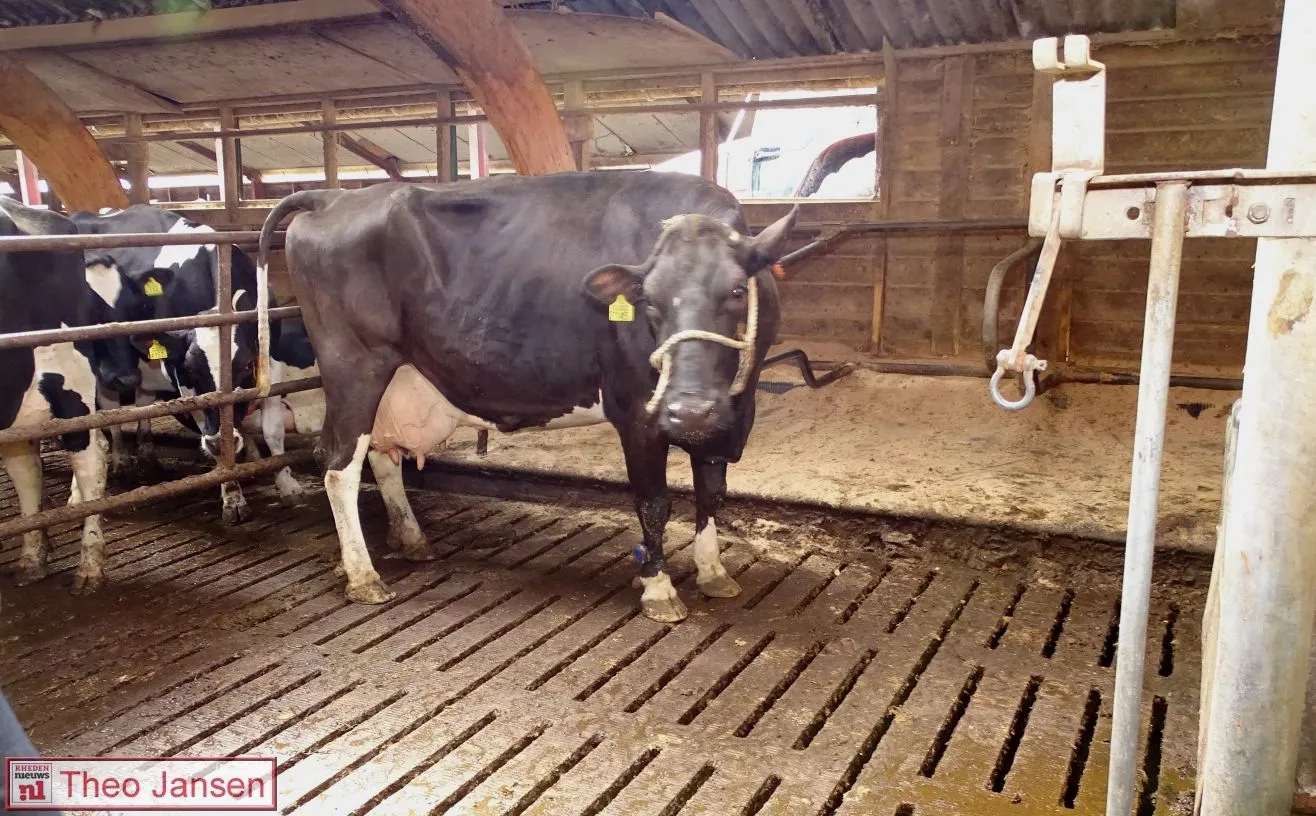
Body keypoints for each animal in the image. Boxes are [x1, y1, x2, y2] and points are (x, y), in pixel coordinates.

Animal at [0, 197, 141, 594]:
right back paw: (33, 557)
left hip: (68, 384)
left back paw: (89, 565)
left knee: (89, 456)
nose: (124, 377)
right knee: (26, 468)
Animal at [67, 205, 308, 523]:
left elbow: (273, 430)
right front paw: (232, 495)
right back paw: (114, 464)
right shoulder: (183, 381)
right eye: (192, 370)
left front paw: (287, 483)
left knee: (142, 402)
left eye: (245, 367)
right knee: (103, 412)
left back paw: (147, 455)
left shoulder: (270, 360)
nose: (218, 440)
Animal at [256, 172, 798, 622]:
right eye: (650, 302)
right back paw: (363, 576)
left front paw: (713, 572)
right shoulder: (636, 412)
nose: (688, 409)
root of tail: (335, 196)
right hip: (354, 367)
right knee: (338, 467)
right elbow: (654, 502)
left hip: (394, 379)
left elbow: (711, 491)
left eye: (736, 290)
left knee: (378, 458)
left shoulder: (732, 413)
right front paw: (659, 589)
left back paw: (410, 539)